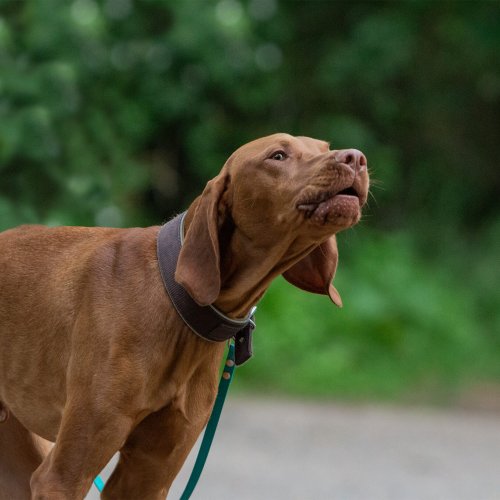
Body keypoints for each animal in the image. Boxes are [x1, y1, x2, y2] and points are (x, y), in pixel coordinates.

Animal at [0, 134, 368, 500]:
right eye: (277, 155)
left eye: (324, 147)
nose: (356, 158)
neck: (175, 302)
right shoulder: (63, 477)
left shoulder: (147, 476)